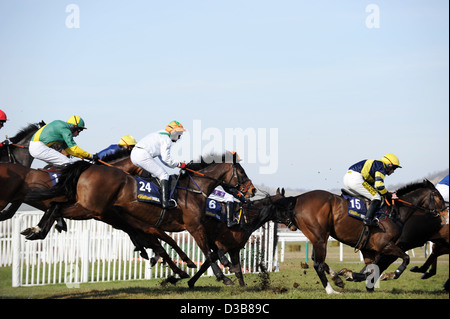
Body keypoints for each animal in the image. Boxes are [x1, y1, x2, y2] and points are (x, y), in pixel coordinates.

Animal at [25, 152, 256, 270]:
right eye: (242, 172)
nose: (252, 190)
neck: (194, 188)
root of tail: (88, 168)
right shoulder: (193, 226)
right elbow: (205, 249)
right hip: (89, 209)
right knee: (58, 207)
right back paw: (39, 230)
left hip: (90, 209)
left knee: (55, 205)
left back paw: (35, 230)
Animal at [272, 180, 448, 296]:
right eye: (439, 196)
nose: (446, 215)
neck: (395, 212)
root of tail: (297, 198)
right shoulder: (385, 245)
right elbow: (405, 259)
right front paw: (390, 275)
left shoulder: (369, 249)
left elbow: (371, 270)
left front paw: (352, 276)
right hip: (320, 238)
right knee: (318, 264)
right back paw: (331, 290)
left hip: (317, 238)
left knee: (318, 260)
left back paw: (336, 279)